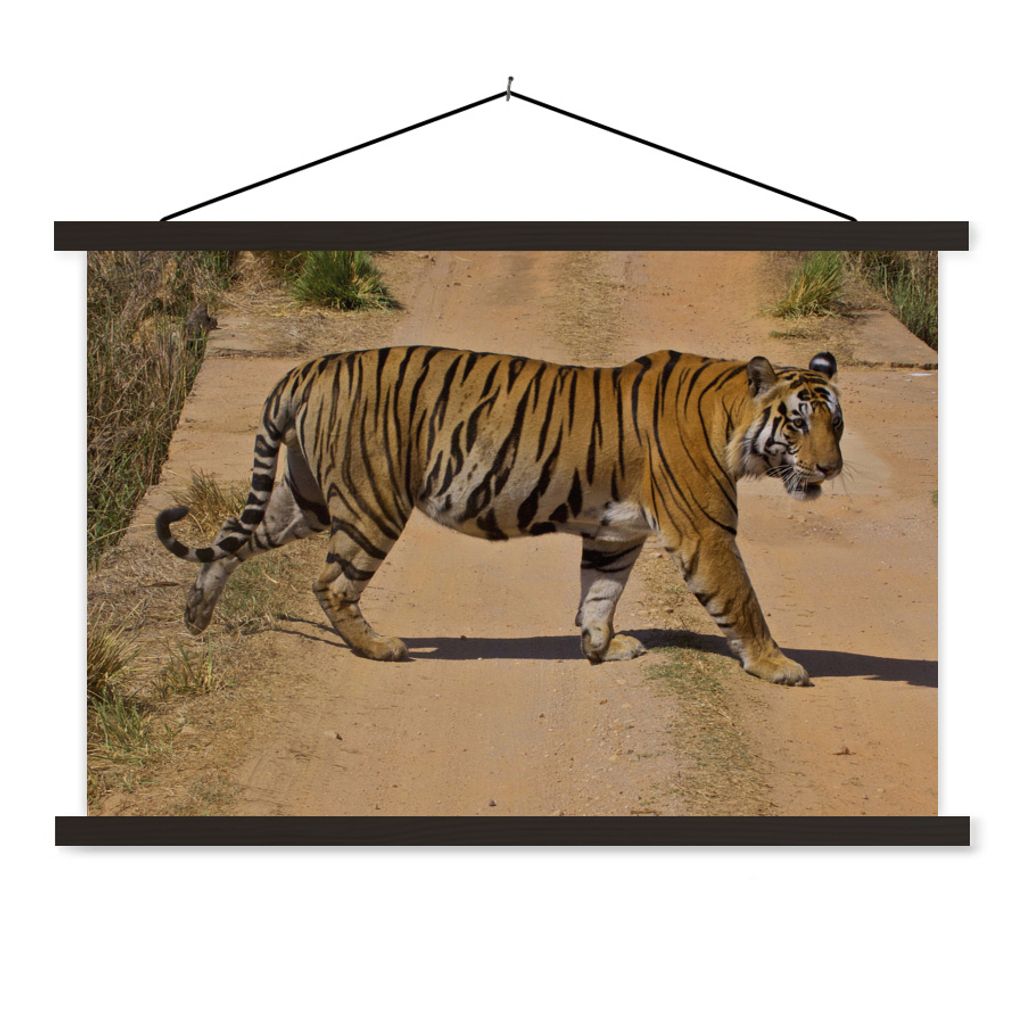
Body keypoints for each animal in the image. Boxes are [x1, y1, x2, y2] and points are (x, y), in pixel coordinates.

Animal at [156, 346, 843, 685]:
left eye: (835, 423)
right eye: (796, 424)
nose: (832, 469)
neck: (730, 418)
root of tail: (307, 368)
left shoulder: (615, 532)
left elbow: (600, 593)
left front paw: (602, 648)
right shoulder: (706, 531)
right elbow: (742, 600)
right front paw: (778, 666)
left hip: (305, 499)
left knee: (231, 537)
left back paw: (195, 615)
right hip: (371, 502)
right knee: (330, 583)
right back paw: (379, 649)